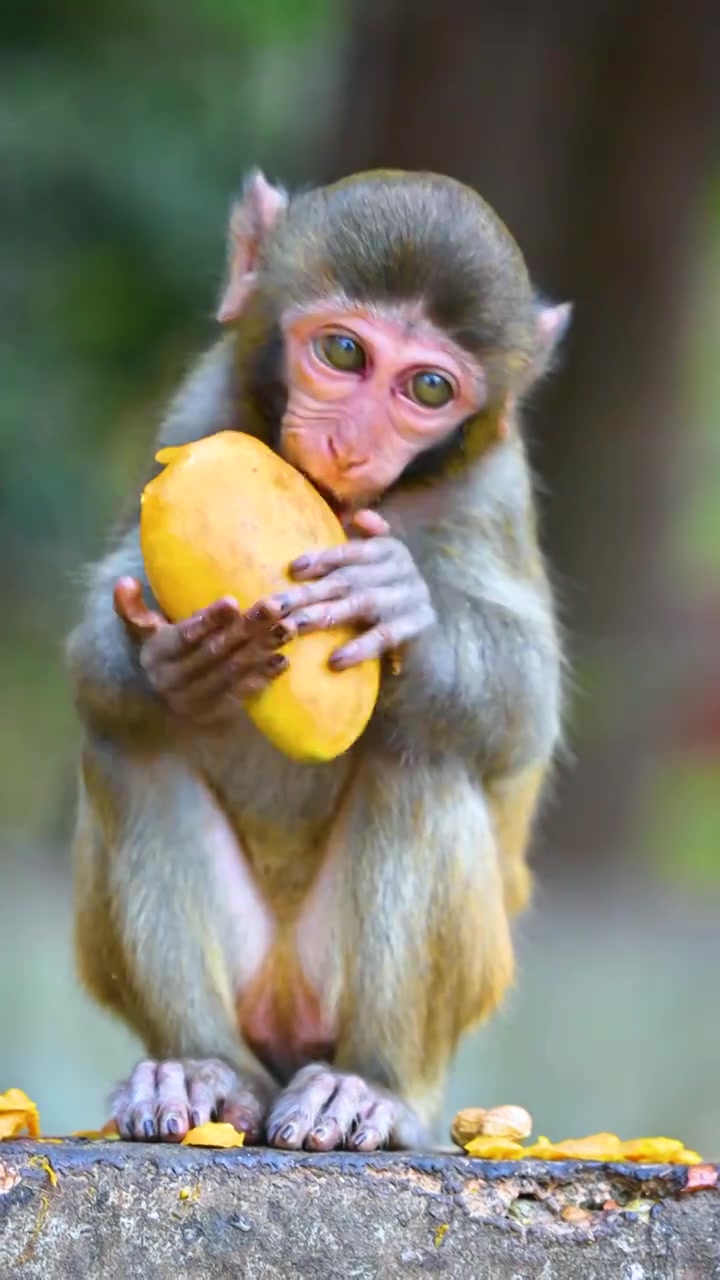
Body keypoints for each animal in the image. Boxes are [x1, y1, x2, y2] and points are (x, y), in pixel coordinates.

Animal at [65, 167, 566, 1152]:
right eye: (341, 351)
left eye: (427, 387)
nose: (350, 444)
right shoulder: (204, 406)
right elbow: (95, 662)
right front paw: (171, 661)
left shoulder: (491, 488)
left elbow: (525, 711)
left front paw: (400, 605)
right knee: (129, 743)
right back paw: (200, 1069)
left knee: (425, 758)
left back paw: (366, 1088)